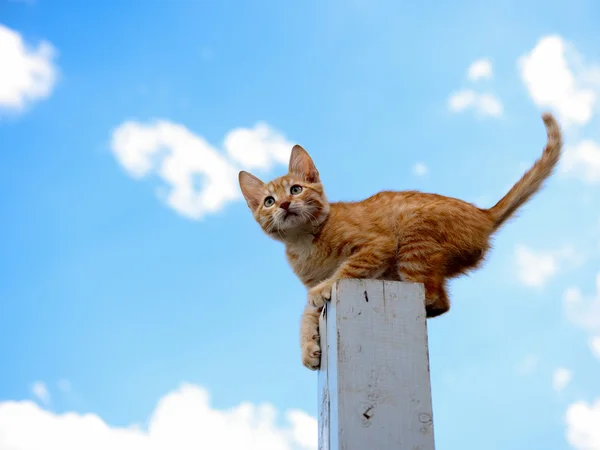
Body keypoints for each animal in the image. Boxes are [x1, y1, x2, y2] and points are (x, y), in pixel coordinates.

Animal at [238, 112, 564, 370]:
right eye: (268, 201)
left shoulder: (376, 246)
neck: (305, 241)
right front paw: (308, 346)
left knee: (436, 298)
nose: (283, 205)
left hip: (411, 239)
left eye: (296, 189)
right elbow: (307, 314)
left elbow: (346, 269)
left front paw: (324, 289)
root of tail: (483, 214)